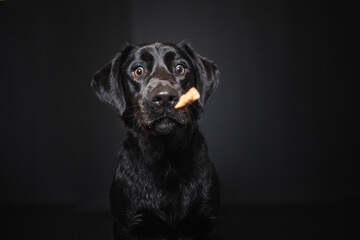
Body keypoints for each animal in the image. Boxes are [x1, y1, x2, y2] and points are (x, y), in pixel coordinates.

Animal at [90, 42, 219, 239]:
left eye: (180, 69)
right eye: (138, 71)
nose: (164, 97)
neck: (166, 162)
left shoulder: (207, 220)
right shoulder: (129, 224)